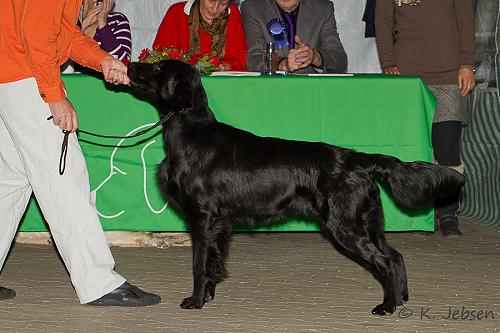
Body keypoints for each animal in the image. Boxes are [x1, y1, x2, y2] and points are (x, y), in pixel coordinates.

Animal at [128, 60, 464, 314]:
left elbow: (199, 265)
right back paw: (401, 299)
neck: (192, 135)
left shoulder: (202, 217)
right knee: (396, 257)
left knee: (386, 262)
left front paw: (195, 301)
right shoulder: (220, 224)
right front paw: (208, 296)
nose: (130, 64)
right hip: (368, 222)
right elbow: (213, 263)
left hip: (347, 225)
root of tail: (358, 159)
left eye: (158, 67)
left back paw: (387, 307)